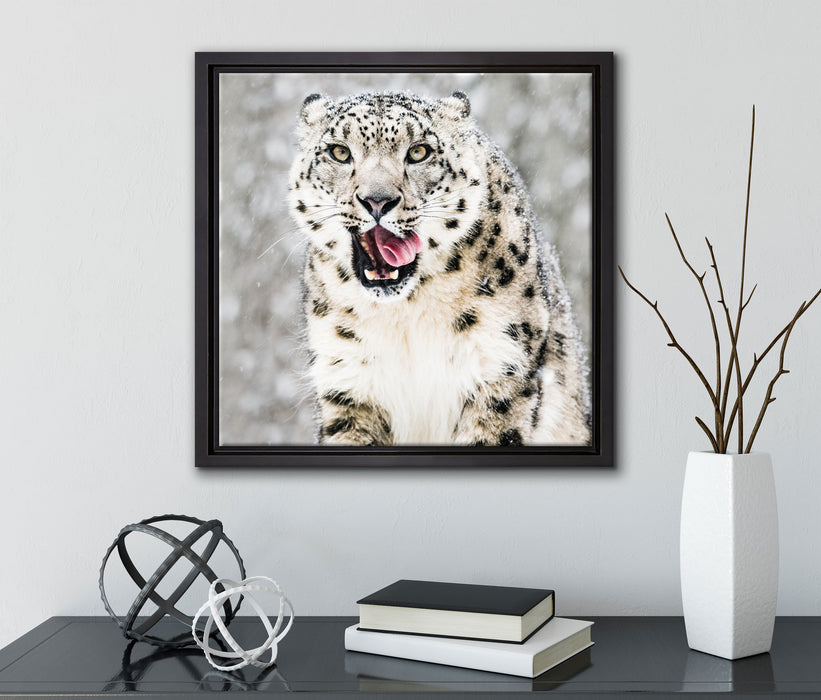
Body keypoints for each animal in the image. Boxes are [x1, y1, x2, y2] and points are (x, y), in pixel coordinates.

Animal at [288, 90, 590, 446]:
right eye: (339, 152)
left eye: (419, 152)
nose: (377, 200)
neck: (405, 316)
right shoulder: (349, 381)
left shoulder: (500, 368)